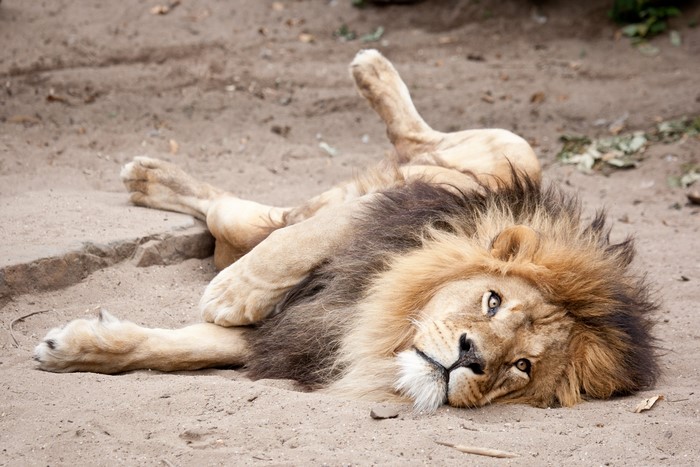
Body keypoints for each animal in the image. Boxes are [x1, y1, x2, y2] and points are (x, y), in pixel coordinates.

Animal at [34, 50, 659, 411]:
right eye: (492, 300)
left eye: (521, 368)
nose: (470, 358)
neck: (382, 315)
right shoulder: (401, 207)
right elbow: (315, 237)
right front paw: (236, 294)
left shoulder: (313, 332)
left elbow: (184, 350)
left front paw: (73, 350)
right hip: (509, 155)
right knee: (404, 148)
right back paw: (371, 67)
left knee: (241, 214)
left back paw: (148, 178)